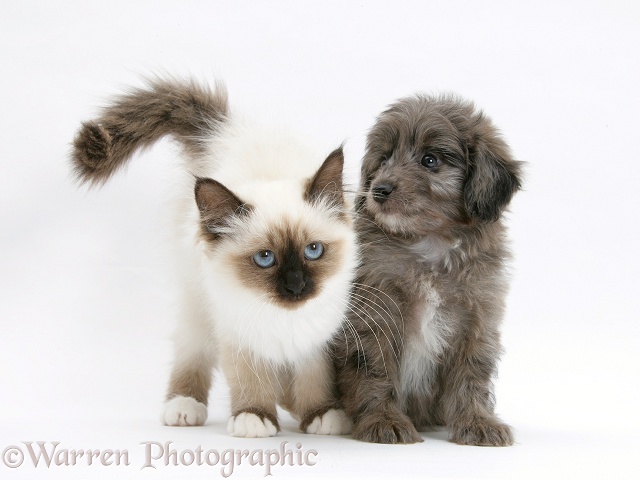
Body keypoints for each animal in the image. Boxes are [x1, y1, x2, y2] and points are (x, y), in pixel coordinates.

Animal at [74, 77, 360, 436]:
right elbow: (250, 380)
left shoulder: (318, 340)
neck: (283, 319)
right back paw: (183, 407)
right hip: (197, 304)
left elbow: (314, 380)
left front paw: (322, 414)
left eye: (313, 250)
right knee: (190, 353)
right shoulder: (237, 334)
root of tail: (224, 132)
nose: (296, 286)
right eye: (265, 258)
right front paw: (254, 417)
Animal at [336, 94, 520, 446]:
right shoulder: (377, 313)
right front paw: (384, 420)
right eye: (383, 159)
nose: (379, 190)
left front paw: (477, 421)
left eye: (430, 160)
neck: (430, 245)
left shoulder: (477, 319)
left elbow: (472, 375)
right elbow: (376, 371)